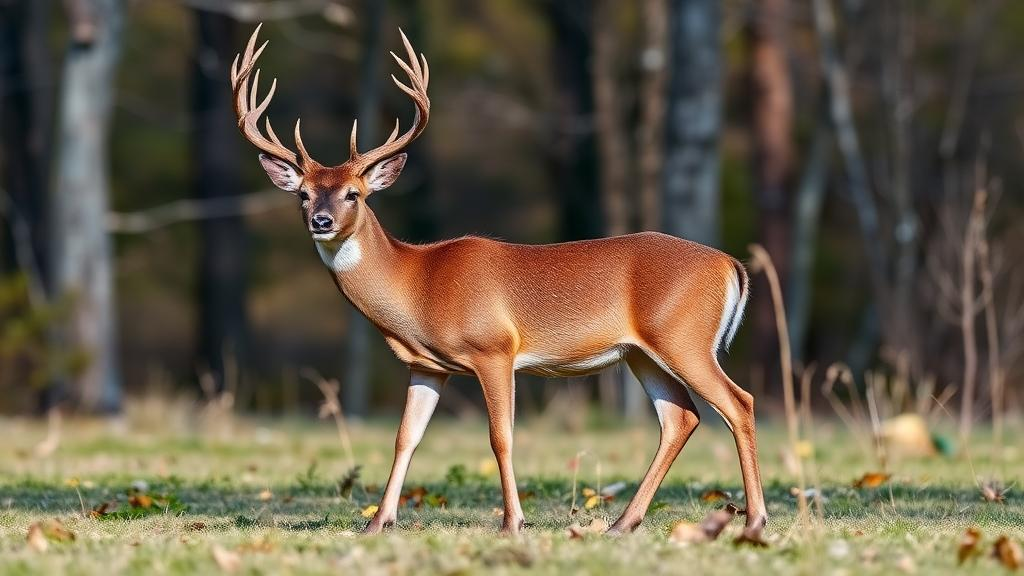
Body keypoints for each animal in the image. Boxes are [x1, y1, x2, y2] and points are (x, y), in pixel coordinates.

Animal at [231, 25, 766, 537]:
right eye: (302, 194)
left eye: (353, 194)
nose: (320, 221)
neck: (418, 285)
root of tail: (729, 265)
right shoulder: (426, 366)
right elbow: (406, 437)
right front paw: (378, 522)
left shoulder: (493, 349)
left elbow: (500, 436)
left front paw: (513, 522)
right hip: (641, 352)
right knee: (681, 417)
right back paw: (622, 523)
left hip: (683, 338)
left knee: (738, 403)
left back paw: (754, 519)